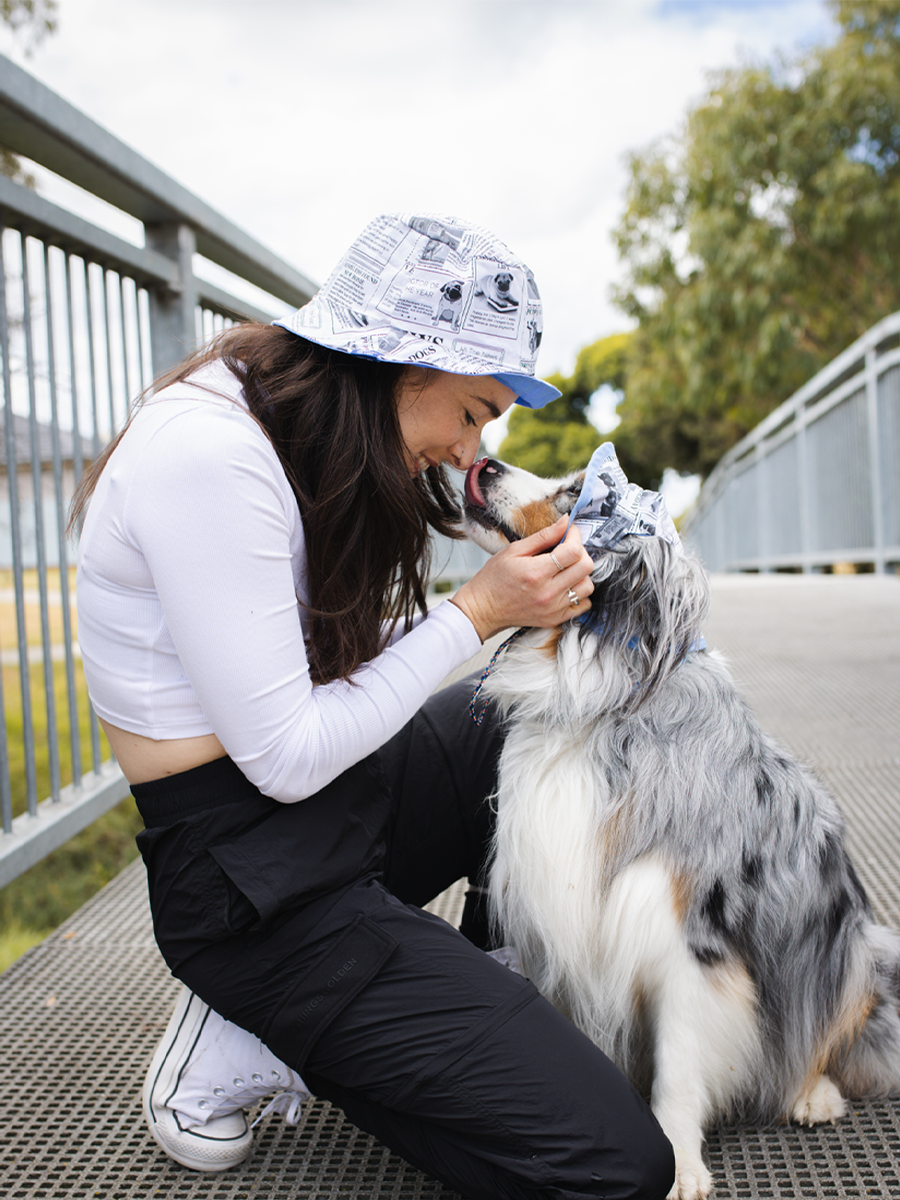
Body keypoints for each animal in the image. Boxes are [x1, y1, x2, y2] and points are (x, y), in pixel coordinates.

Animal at [460, 451, 900, 1200]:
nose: (483, 463)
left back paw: (811, 1093)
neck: (598, 705)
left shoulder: (686, 938)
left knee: (829, 1033)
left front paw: (680, 1166)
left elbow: (680, 1064)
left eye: (576, 493)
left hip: (853, 947)